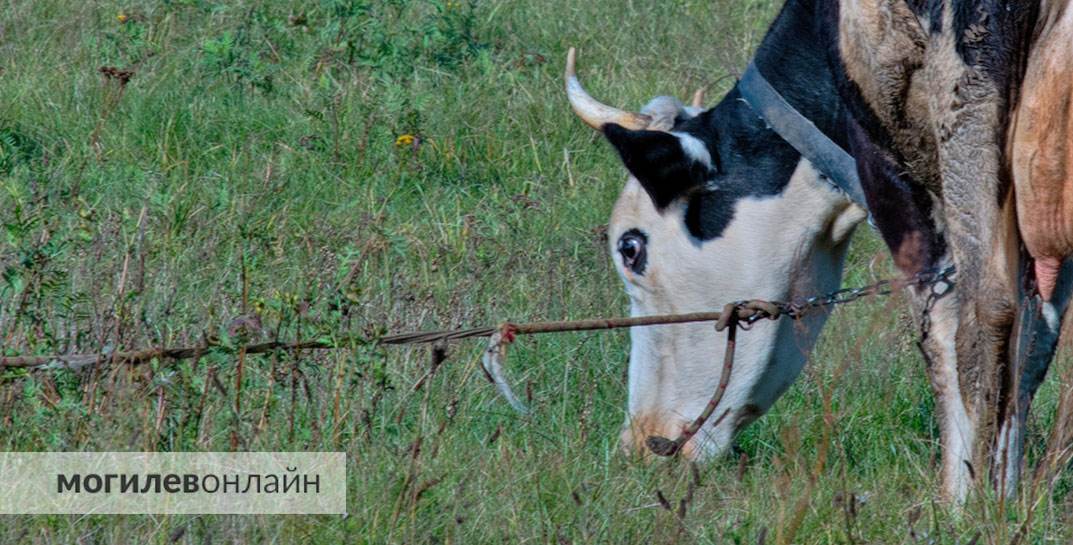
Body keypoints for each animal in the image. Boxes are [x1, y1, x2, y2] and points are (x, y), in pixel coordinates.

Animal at [566, 0, 1073, 502]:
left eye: (630, 247)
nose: (641, 442)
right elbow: (1038, 338)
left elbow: (946, 326)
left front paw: (965, 500)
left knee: (987, 309)